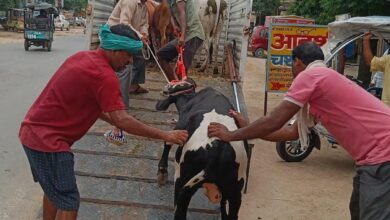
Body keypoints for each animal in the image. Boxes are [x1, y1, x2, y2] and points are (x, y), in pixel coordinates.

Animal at [155, 84, 247, 220]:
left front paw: (162, 171)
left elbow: (168, 141)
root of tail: (217, 146)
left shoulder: (180, 127)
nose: (159, 102)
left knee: (179, 212)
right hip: (235, 190)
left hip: (182, 180)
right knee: (232, 213)